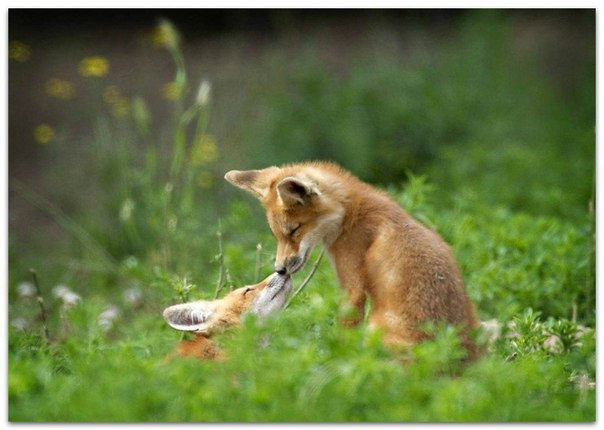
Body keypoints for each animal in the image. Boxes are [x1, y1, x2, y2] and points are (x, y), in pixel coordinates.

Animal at [226, 161, 482, 356]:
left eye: (294, 230)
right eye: (276, 234)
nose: (279, 269)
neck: (351, 212)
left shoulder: (352, 282)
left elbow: (345, 332)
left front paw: (338, 359)